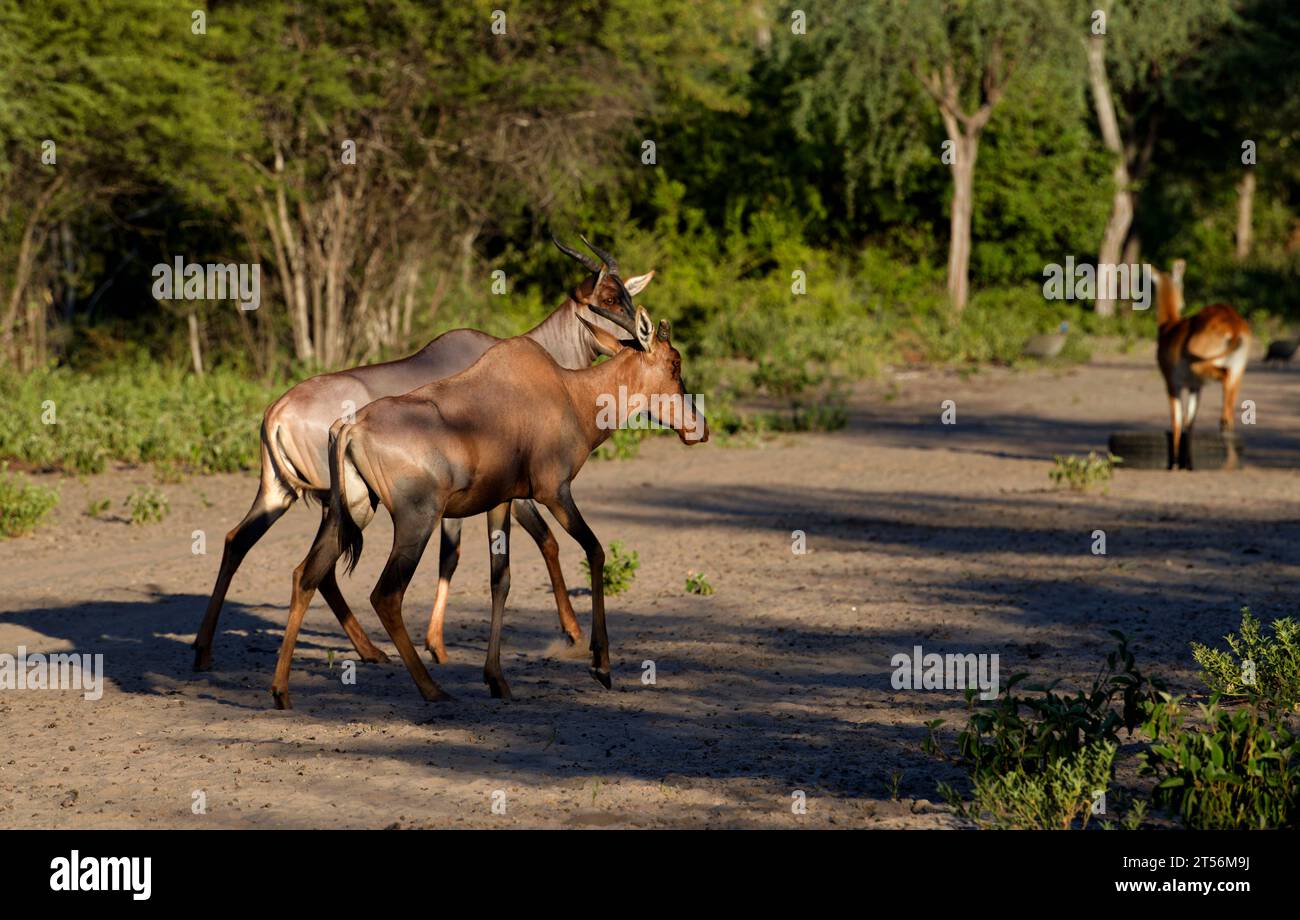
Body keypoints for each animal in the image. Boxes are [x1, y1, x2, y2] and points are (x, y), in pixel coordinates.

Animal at [191, 235, 650, 670]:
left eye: (628, 297)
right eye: (607, 301)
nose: (639, 341)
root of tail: (276, 412)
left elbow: (456, 555)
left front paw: (438, 646)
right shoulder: (512, 489)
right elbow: (541, 542)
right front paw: (573, 636)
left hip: (279, 493)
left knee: (239, 541)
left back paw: (206, 652)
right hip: (343, 500)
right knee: (320, 568)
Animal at [267, 298, 707, 706]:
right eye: (675, 362)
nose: (699, 429)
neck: (565, 391)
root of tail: (350, 426)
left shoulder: (502, 501)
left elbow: (501, 580)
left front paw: (497, 679)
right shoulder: (554, 492)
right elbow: (595, 551)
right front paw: (601, 666)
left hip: (354, 512)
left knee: (306, 575)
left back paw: (281, 691)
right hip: (415, 522)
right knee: (385, 595)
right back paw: (434, 689)